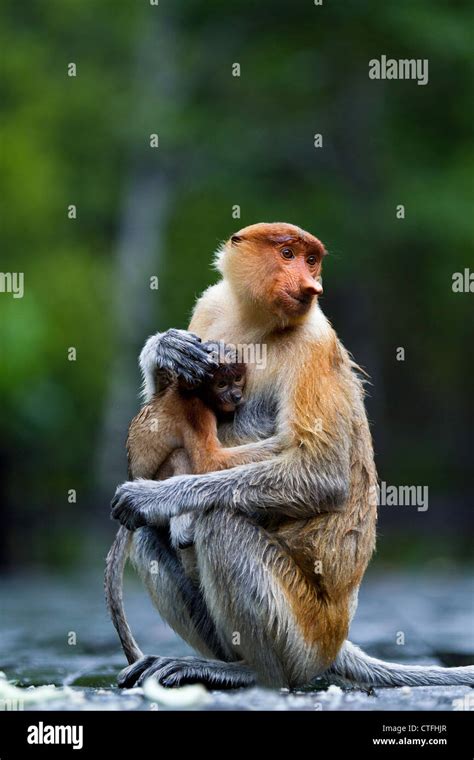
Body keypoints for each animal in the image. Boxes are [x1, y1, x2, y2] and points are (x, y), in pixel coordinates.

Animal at [128, 348, 248, 548]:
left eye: (238, 378)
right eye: (221, 384)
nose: (236, 396)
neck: (196, 392)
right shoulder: (196, 410)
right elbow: (208, 460)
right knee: (181, 456)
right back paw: (182, 534)